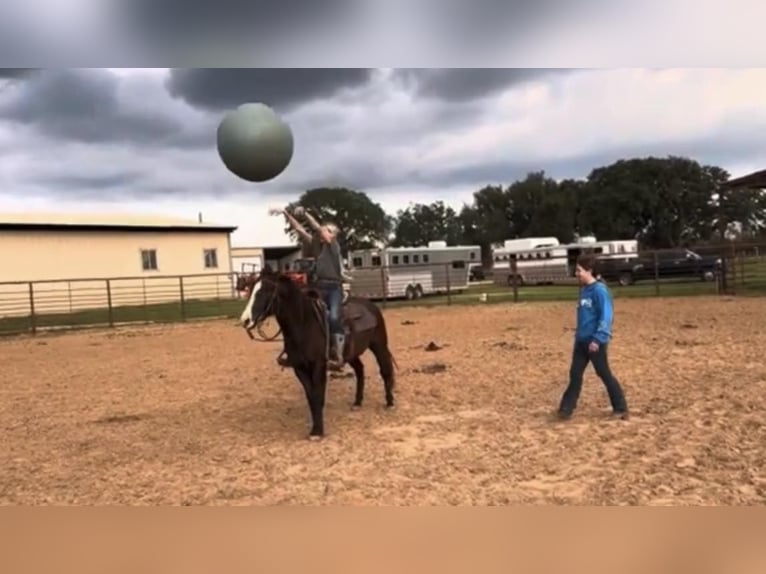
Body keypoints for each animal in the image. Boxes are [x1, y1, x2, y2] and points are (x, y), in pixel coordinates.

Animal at [238, 266, 396, 440]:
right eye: (250, 289)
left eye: (264, 292)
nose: (245, 320)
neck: (304, 325)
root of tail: (371, 306)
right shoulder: (299, 368)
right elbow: (311, 397)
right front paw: (315, 429)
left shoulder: (319, 366)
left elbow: (318, 395)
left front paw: (318, 431)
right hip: (351, 354)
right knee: (360, 370)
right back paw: (357, 403)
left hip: (379, 345)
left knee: (385, 370)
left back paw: (390, 403)